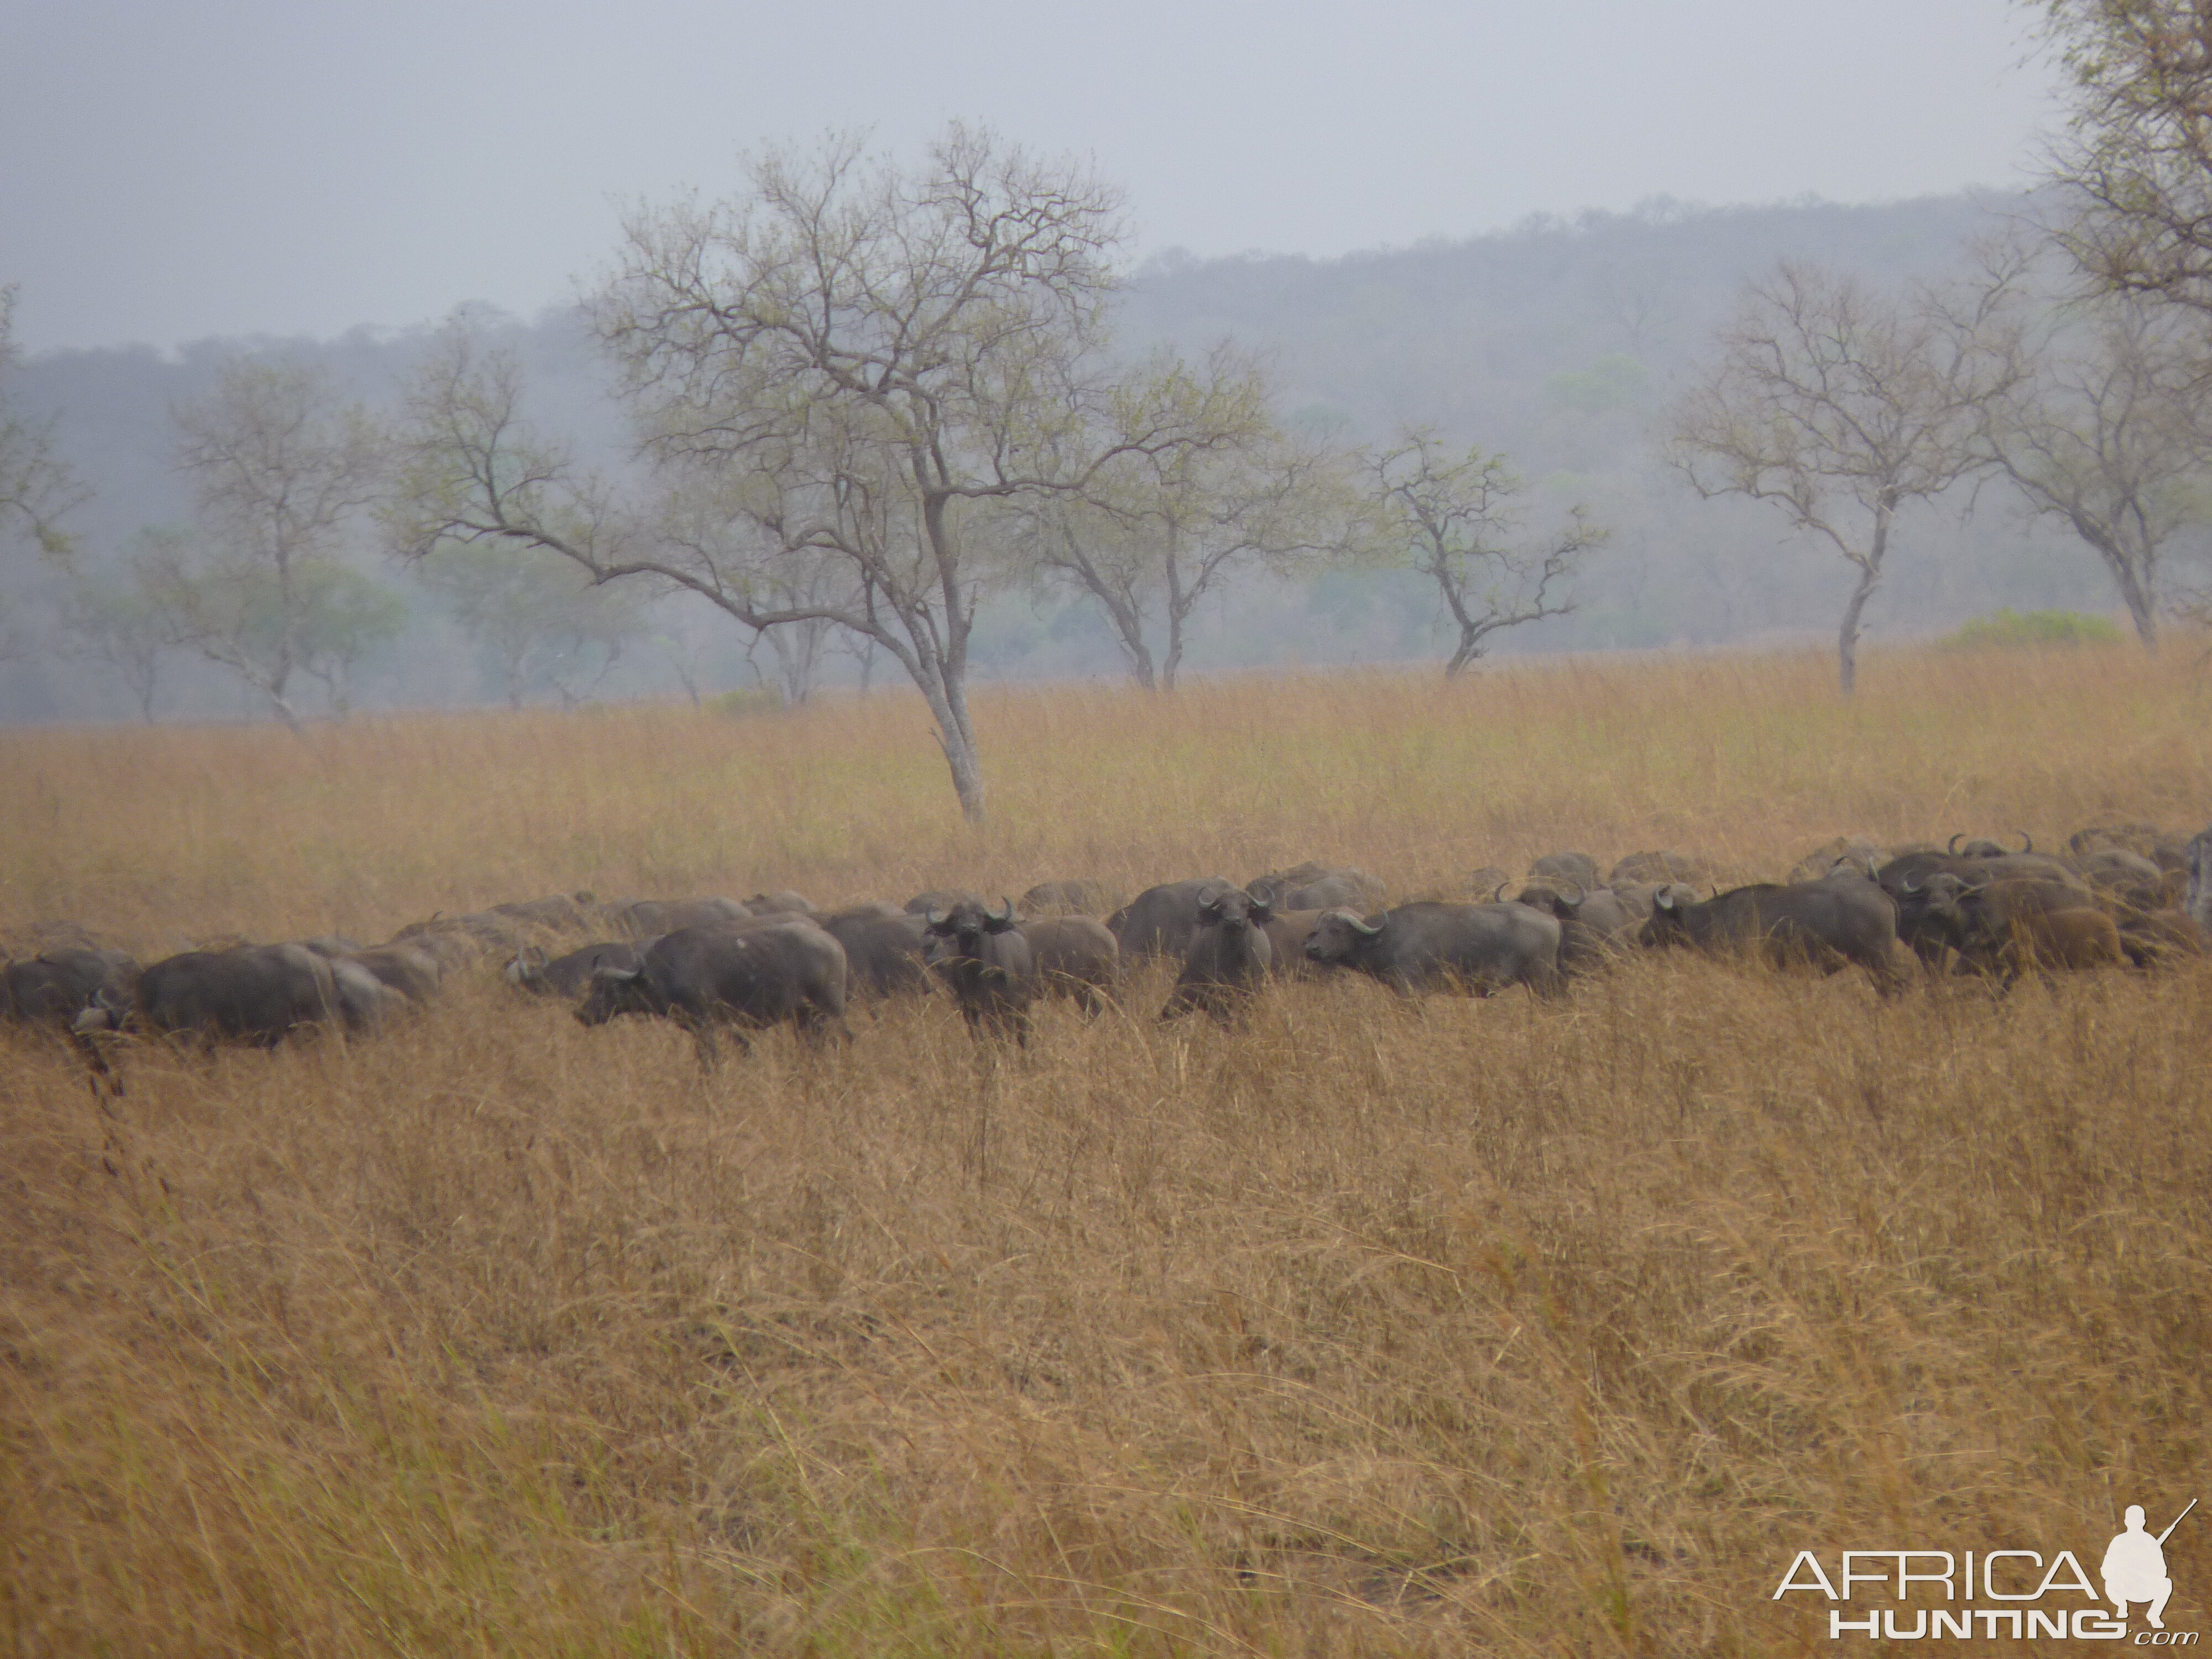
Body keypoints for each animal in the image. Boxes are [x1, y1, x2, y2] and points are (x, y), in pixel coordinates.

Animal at [575, 925, 849, 1066]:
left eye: (608, 989)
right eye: (592, 986)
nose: (581, 1014)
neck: (665, 971)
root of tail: (835, 946)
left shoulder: (705, 1024)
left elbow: (710, 1059)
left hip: (831, 1010)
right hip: (805, 1019)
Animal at [1301, 911, 1566, 1000]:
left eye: (1336, 930)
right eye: (1318, 930)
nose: (1312, 950)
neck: (1386, 937)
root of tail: (1553, 921)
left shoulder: (1410, 991)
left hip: (1540, 981)